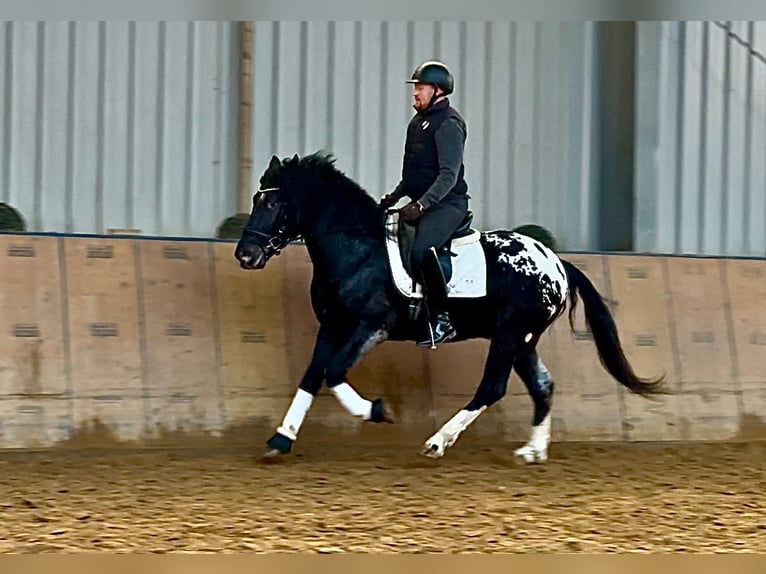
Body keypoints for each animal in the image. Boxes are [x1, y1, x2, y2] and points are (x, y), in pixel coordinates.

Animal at [234, 152, 664, 464]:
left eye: (273, 201)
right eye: (257, 198)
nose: (245, 255)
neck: (357, 249)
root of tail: (557, 264)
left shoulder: (370, 326)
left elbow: (334, 373)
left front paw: (378, 411)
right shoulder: (332, 327)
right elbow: (312, 376)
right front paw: (280, 440)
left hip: (509, 335)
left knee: (492, 387)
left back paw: (437, 442)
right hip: (522, 340)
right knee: (542, 385)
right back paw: (532, 451)